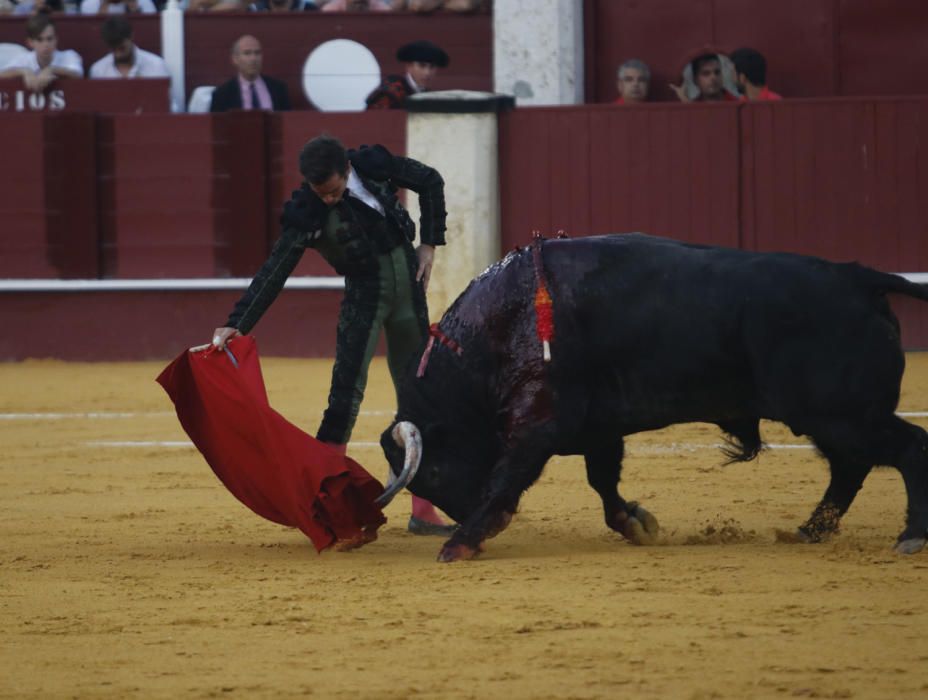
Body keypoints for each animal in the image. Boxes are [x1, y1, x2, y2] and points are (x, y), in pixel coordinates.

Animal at [378, 235, 928, 564]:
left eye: (432, 472)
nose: (464, 515)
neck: (501, 323)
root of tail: (856, 276)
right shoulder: (597, 427)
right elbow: (603, 482)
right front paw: (638, 523)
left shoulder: (539, 422)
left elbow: (510, 475)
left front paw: (461, 541)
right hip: (831, 416)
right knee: (850, 467)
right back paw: (810, 530)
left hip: (841, 412)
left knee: (905, 448)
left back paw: (909, 536)